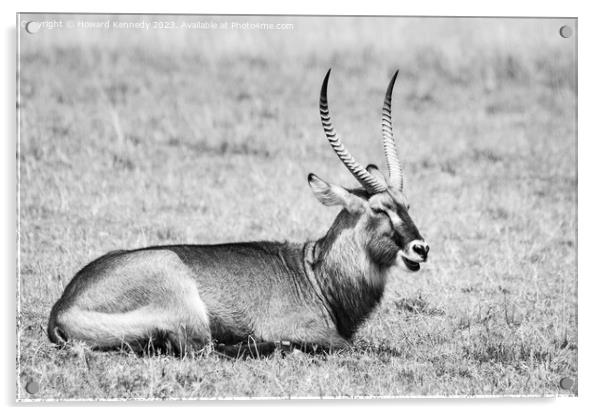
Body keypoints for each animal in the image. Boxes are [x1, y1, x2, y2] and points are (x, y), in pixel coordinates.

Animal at [49, 69, 428, 358]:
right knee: (202, 348)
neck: (314, 272)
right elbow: (354, 346)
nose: (421, 248)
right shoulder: (314, 332)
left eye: (407, 205)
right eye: (379, 208)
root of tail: (62, 307)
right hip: (184, 301)